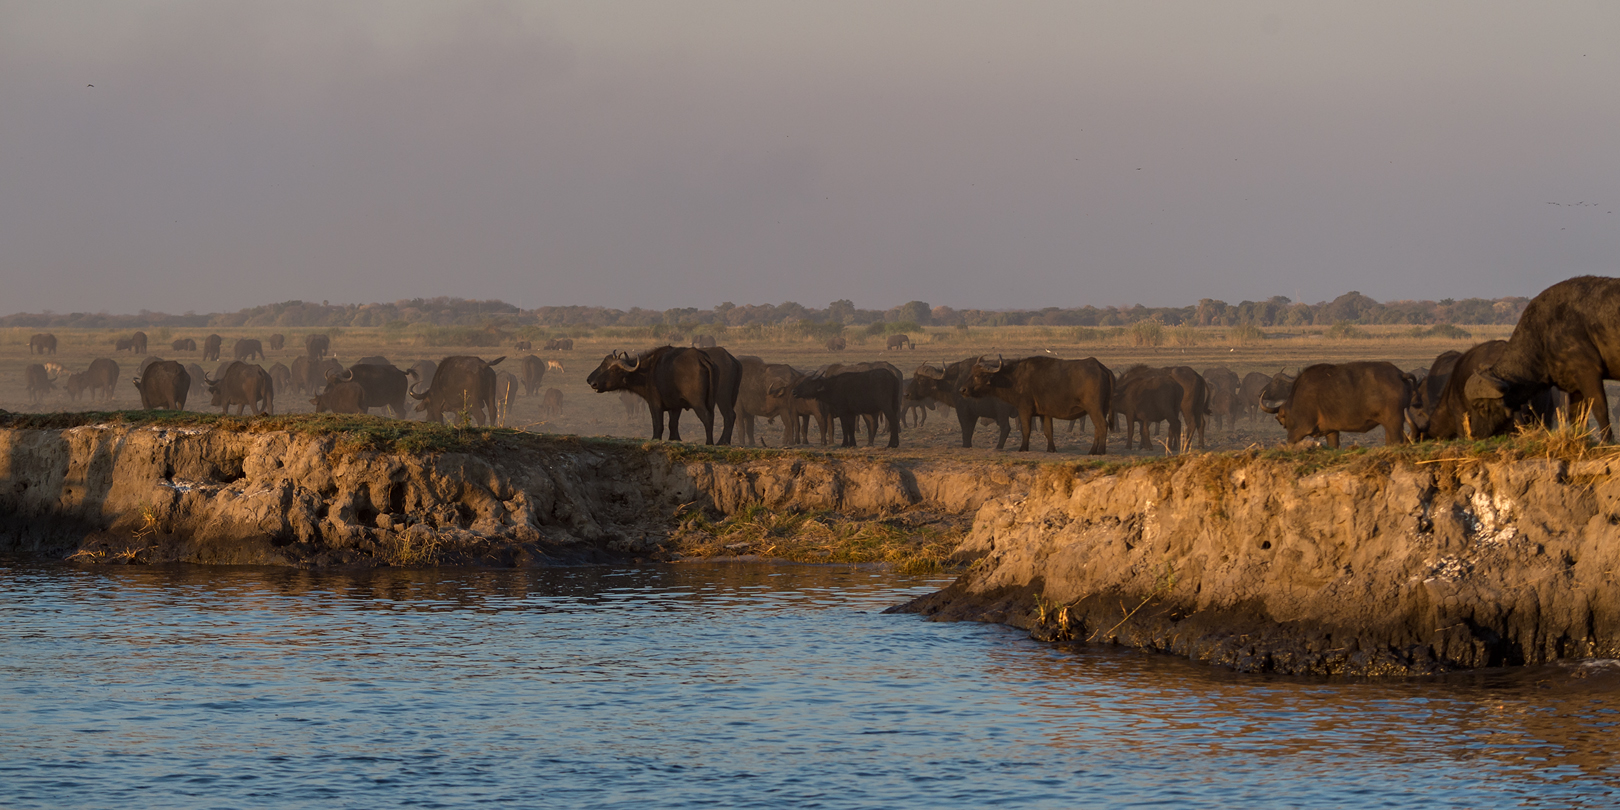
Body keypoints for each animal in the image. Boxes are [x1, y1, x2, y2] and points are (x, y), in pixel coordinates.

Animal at [959, 356, 1114, 456]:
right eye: (971, 373)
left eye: (978, 375)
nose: (962, 390)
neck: (1014, 379)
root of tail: (1101, 367)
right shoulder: (1045, 413)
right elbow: (1048, 432)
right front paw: (1051, 449)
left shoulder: (1024, 410)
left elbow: (1026, 430)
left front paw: (1023, 448)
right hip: (1102, 409)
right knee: (1097, 428)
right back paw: (1092, 451)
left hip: (1094, 408)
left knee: (1102, 425)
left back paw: (1101, 451)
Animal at [1257, 362, 1412, 450]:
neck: (1296, 398)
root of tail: (1399, 374)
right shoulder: (1331, 431)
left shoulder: (1299, 430)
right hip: (1389, 425)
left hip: (1394, 422)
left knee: (1398, 440)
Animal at [1470, 278, 1620, 443]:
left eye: (1482, 406)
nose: (1474, 433)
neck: (1543, 334)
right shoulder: (1574, 385)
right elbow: (1576, 416)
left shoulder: (1588, 373)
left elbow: (1600, 409)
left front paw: (1607, 441)